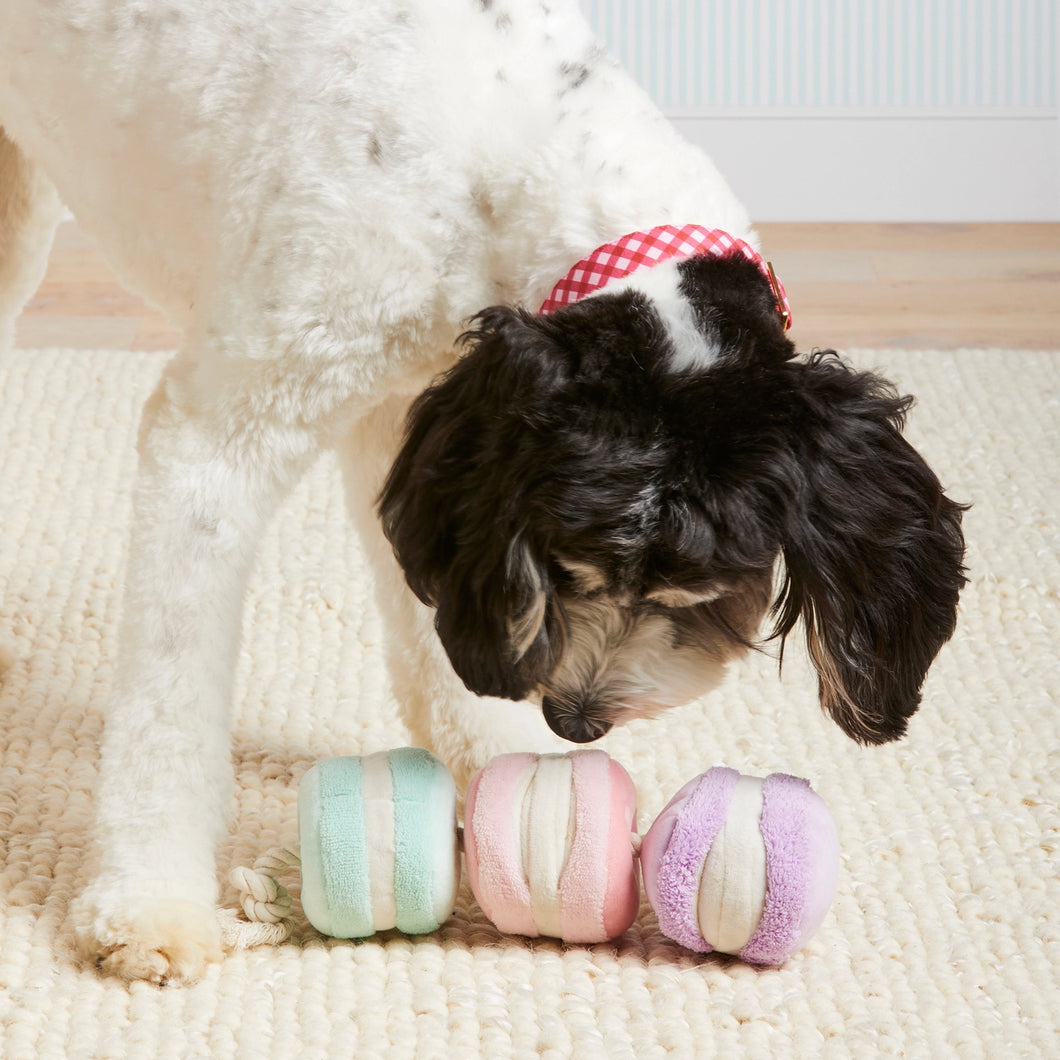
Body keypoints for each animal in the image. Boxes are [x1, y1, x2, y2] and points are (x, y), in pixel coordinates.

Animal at [0, 0, 966, 983]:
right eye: (574, 569)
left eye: (696, 593)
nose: (578, 720)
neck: (508, 158)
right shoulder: (220, 438)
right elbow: (169, 709)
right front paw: (149, 902)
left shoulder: (415, 418)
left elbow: (432, 633)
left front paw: (507, 768)